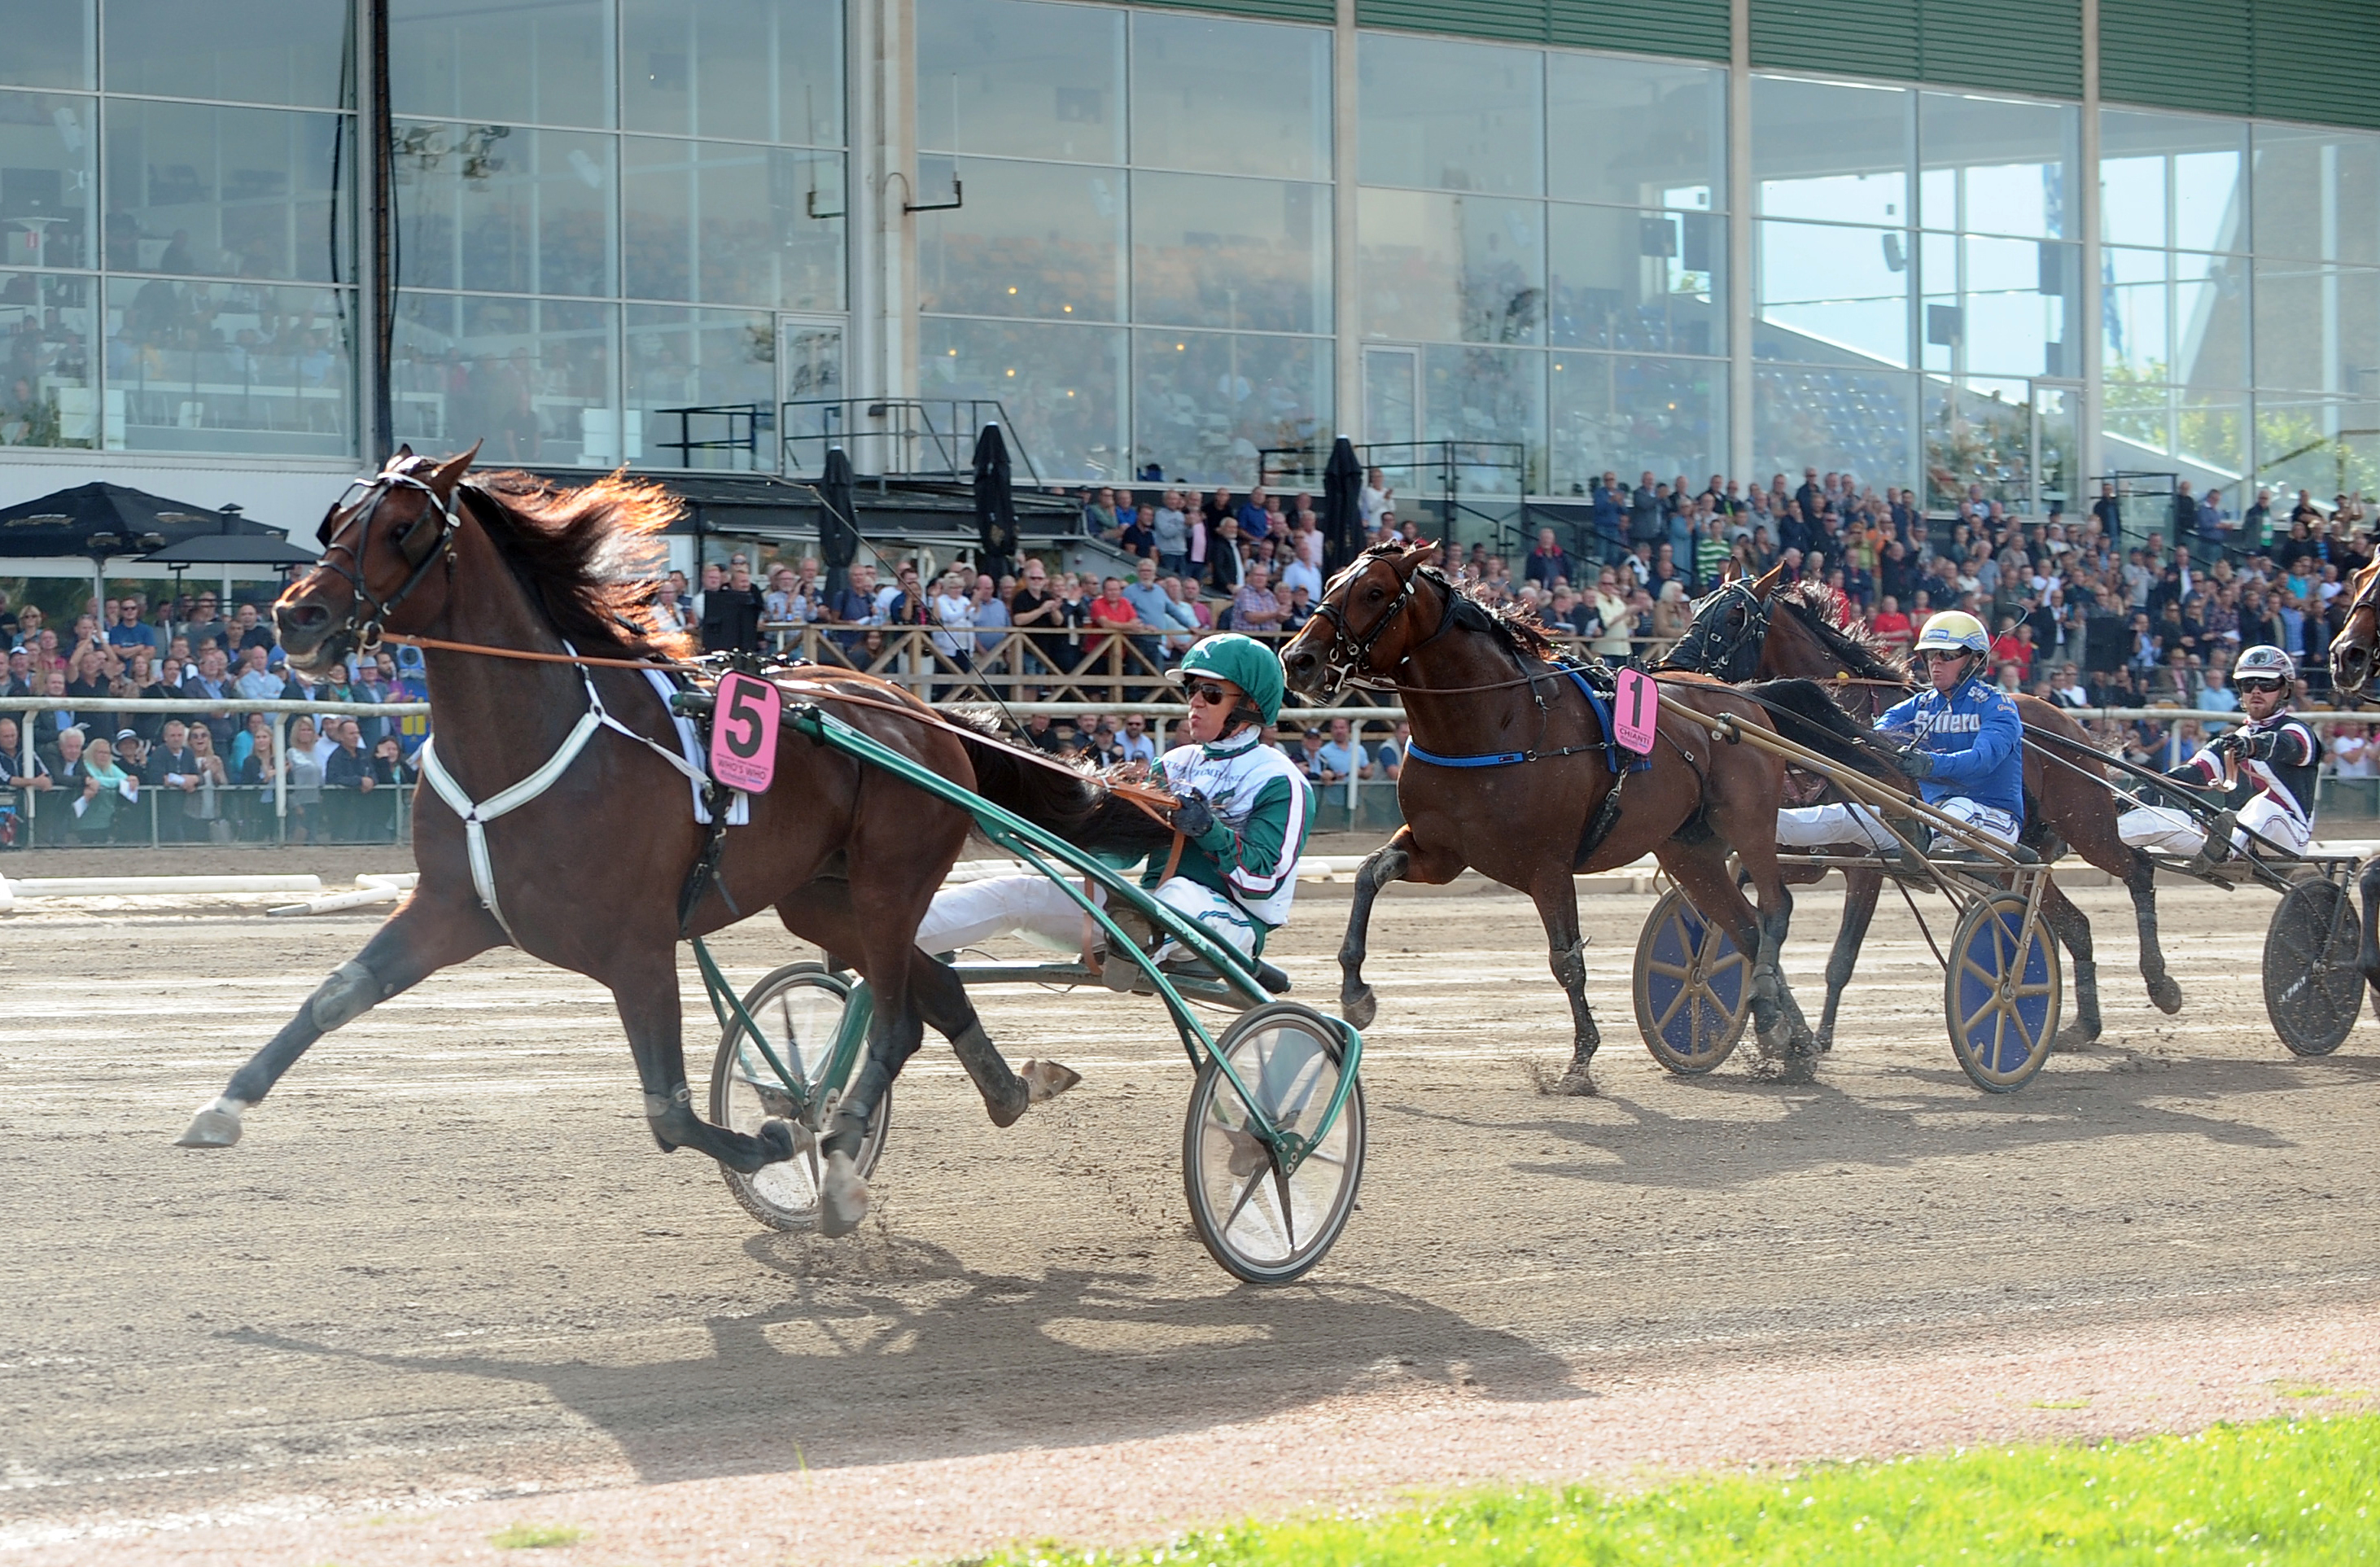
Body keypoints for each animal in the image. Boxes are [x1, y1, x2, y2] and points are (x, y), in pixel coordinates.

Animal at [170, 448, 1170, 1228]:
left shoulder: (637, 944)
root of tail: (915, 709)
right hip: (824, 898)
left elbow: (668, 1112)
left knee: (892, 1021)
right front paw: (220, 1107)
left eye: (406, 527)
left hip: (892, 880)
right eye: (337, 518)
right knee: (931, 992)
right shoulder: (452, 907)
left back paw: (841, 1154)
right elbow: (333, 998)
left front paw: (774, 1136)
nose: (295, 615)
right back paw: (1006, 1089)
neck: (527, 736)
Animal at [1275, 538, 1884, 1086]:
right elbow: (1366, 875)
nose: (1297, 659)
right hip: (1689, 850)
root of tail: (1747, 700)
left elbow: (1566, 959)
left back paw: (1773, 1013)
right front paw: (1355, 994)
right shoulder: (1439, 852)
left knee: (1775, 909)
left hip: (1749, 822)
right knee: (1747, 928)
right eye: (1331, 581)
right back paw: (1790, 1039)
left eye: (1374, 592)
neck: (1494, 719)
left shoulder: (1547, 864)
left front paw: (1581, 1060)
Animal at [1665, 567, 2180, 1043]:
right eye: (1697, 605)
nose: (1673, 664)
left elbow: (1840, 960)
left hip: (2085, 826)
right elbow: (1743, 903)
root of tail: (2068, 722)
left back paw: (2159, 983)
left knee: (2137, 869)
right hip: (2014, 859)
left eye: (1735, 616)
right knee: (2075, 924)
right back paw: (2084, 1024)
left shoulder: (1867, 866)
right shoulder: (1803, 855)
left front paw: (1818, 1037)